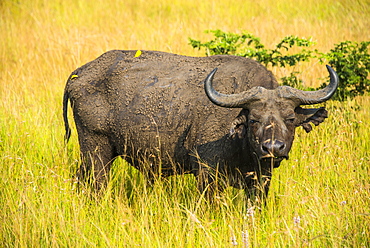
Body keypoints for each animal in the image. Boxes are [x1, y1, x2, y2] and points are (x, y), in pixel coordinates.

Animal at [62, 50, 338, 198]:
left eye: (290, 118)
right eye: (253, 119)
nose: (272, 148)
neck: (240, 144)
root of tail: (80, 72)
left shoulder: (261, 178)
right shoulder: (207, 174)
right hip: (96, 151)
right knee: (96, 184)